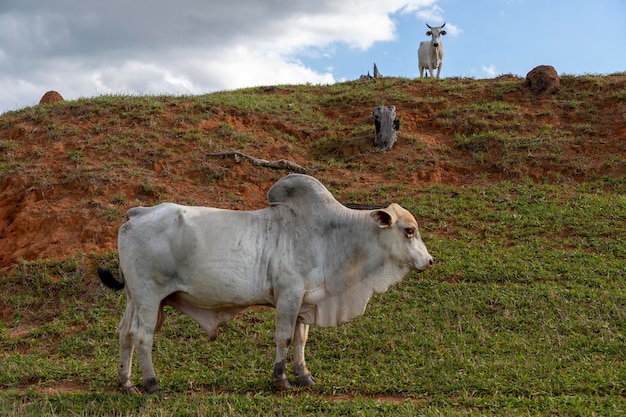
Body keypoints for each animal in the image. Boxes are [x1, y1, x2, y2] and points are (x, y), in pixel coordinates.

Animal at [97, 173, 432, 394]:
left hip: (135, 299)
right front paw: (281, 380)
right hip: (149, 297)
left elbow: (300, 339)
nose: (428, 261)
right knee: (142, 336)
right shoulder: (288, 296)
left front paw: (304, 376)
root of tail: (137, 213)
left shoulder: (305, 300)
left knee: (125, 334)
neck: (329, 236)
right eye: (409, 230)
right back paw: (151, 384)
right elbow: (283, 337)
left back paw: (126, 383)